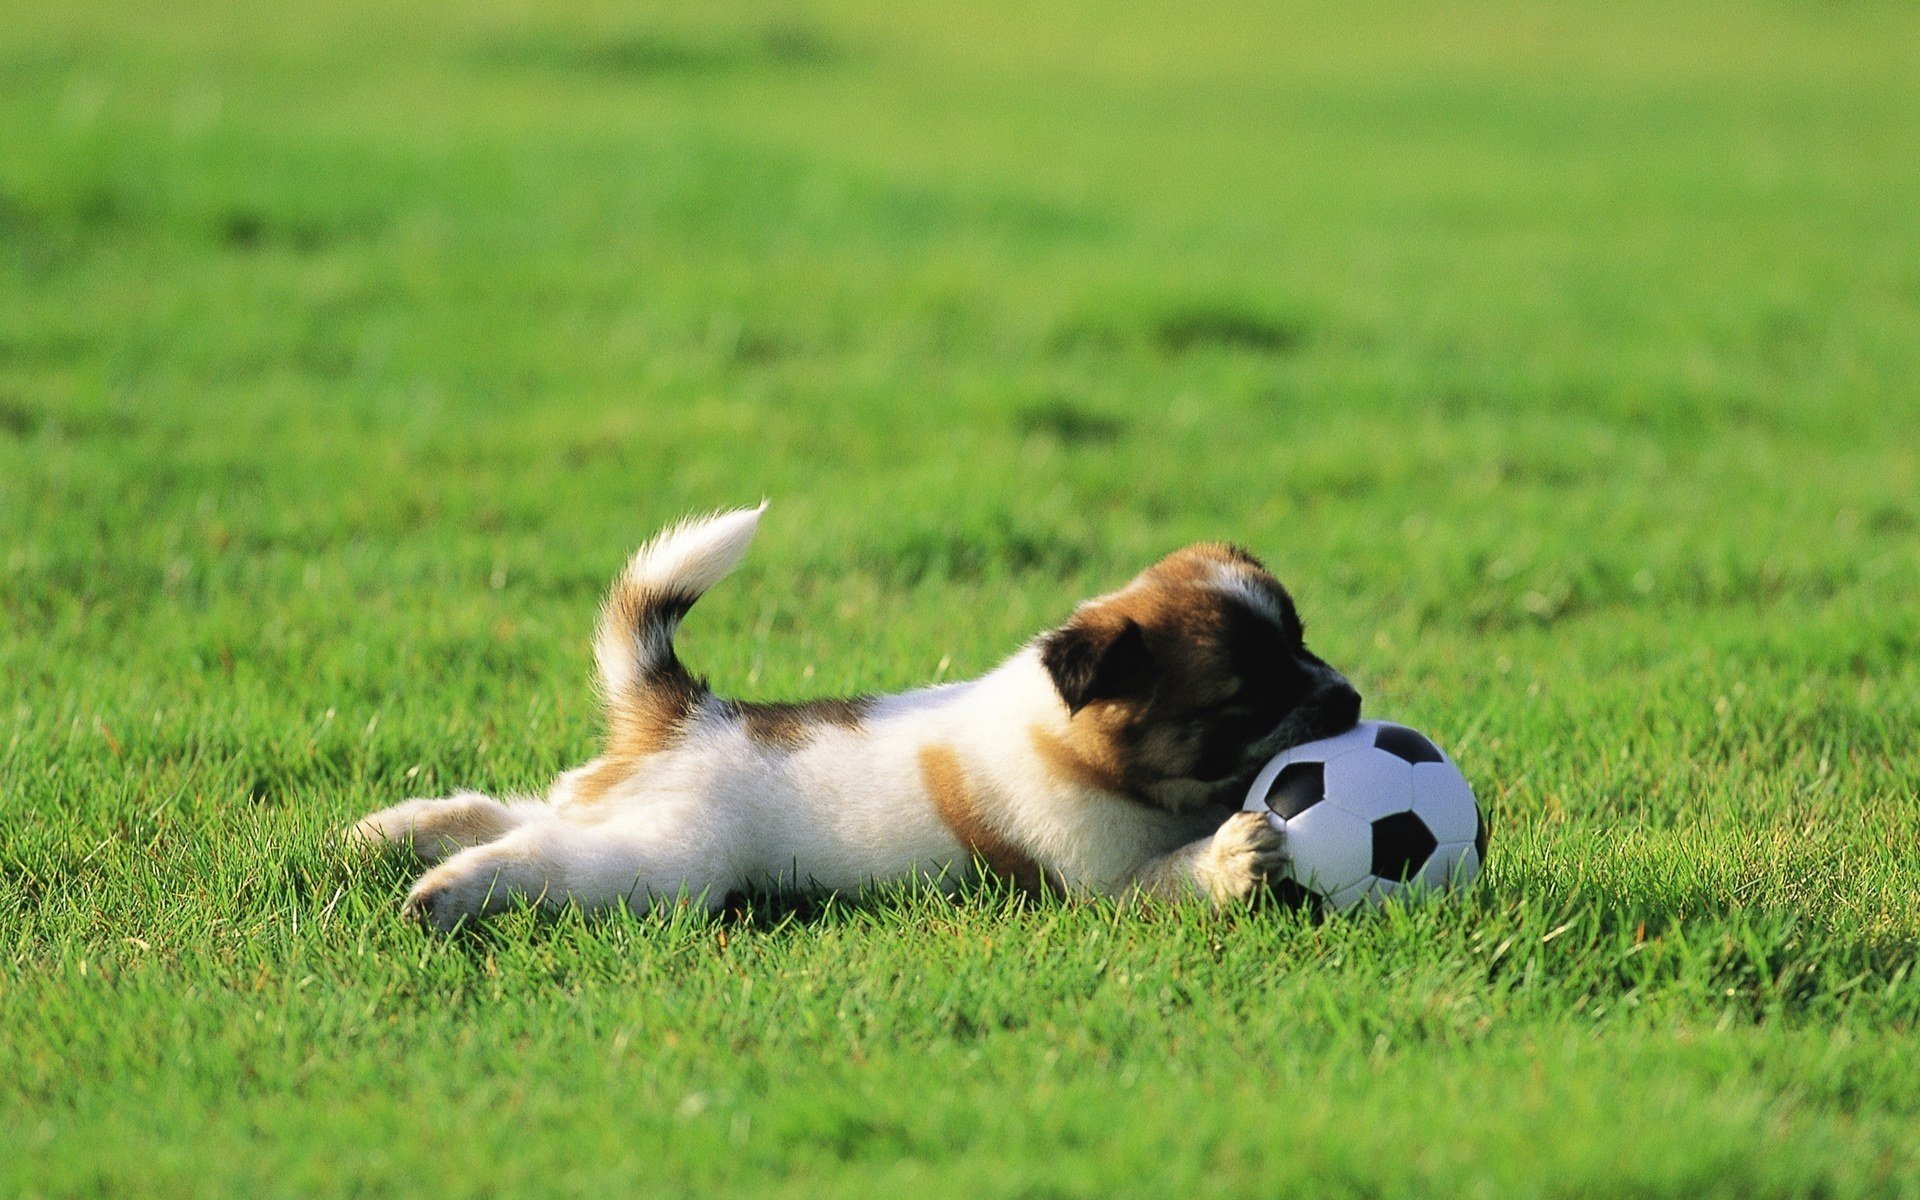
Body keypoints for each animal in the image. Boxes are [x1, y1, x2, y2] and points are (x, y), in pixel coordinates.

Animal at [345, 503, 1367, 925]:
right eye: (1247, 696)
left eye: (1304, 641)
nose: (1354, 699)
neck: (1079, 744)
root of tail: (686, 714)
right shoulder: (1103, 884)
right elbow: (1179, 874)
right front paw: (1237, 857)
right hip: (670, 859)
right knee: (544, 857)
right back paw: (446, 891)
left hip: (616, 805)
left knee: (510, 811)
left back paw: (385, 834)